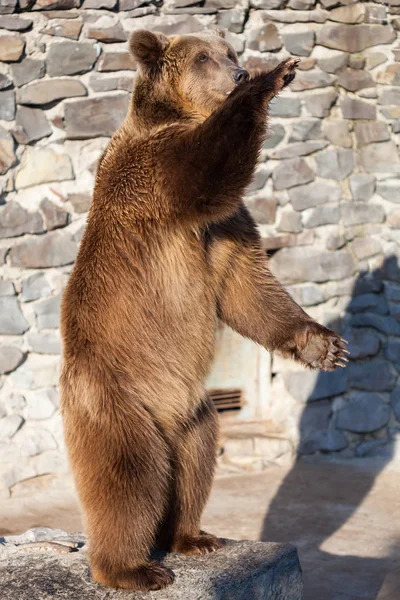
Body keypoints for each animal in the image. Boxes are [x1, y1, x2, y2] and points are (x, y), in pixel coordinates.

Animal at [59, 27, 346, 592]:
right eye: (203, 57)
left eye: (229, 51)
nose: (239, 70)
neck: (177, 115)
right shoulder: (154, 177)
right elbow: (208, 167)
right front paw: (272, 78)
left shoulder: (222, 230)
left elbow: (245, 287)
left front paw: (324, 346)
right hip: (117, 398)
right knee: (130, 477)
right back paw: (132, 568)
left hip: (192, 414)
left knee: (194, 465)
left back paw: (193, 536)